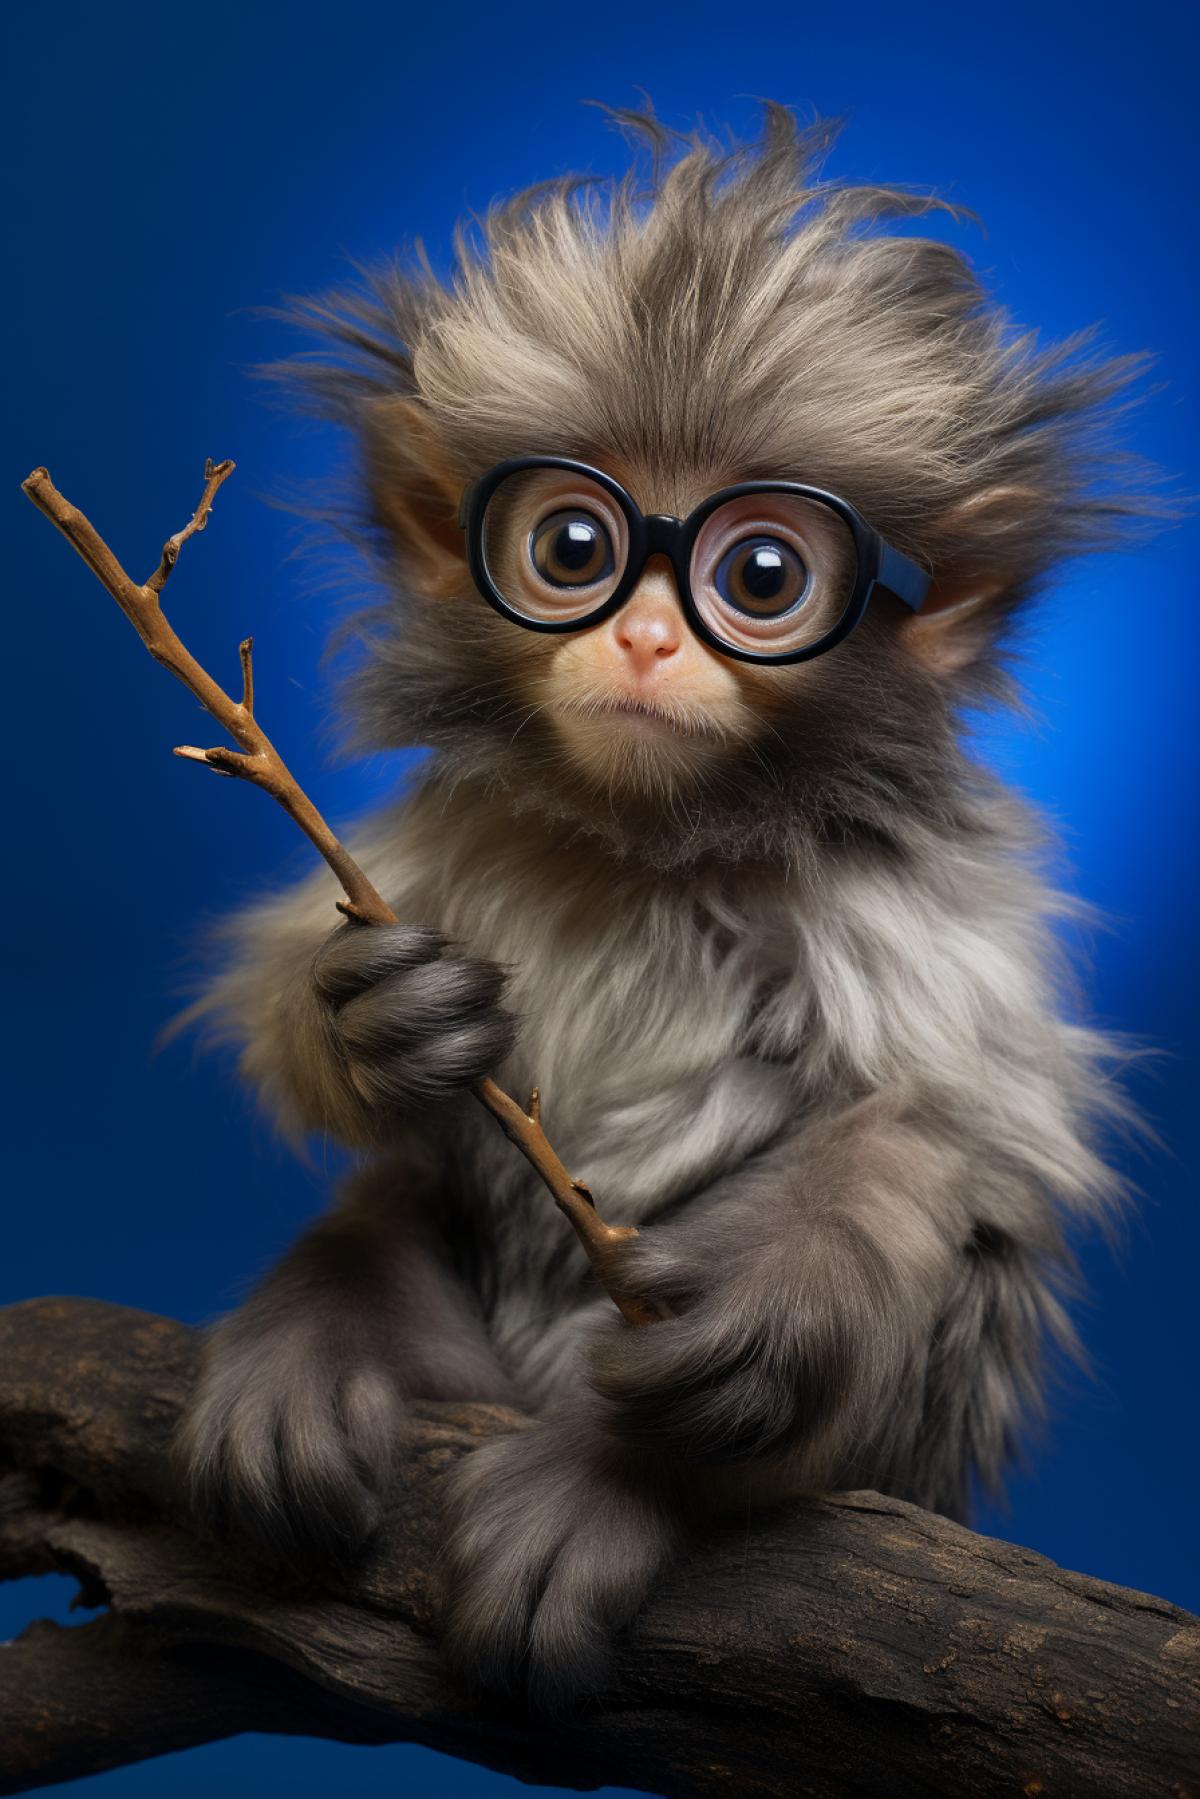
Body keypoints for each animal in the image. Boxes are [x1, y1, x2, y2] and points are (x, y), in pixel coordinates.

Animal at [175, 103, 1155, 1711]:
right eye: (571, 546)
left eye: (760, 573)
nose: (642, 635)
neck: (656, 848)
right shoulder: (451, 834)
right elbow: (292, 1002)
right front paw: (381, 1017)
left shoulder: (901, 900)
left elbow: (950, 1134)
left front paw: (774, 1317)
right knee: (395, 1201)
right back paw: (336, 1334)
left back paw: (625, 1476)